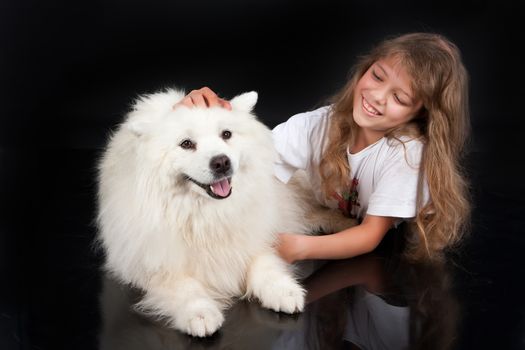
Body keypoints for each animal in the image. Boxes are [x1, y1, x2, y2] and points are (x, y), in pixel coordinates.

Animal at [96, 89, 354, 338]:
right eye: (186, 144)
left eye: (226, 134)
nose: (221, 162)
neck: (208, 216)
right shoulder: (157, 265)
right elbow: (186, 288)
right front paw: (200, 314)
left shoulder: (255, 237)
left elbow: (264, 263)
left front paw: (284, 290)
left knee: (317, 212)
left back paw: (346, 223)